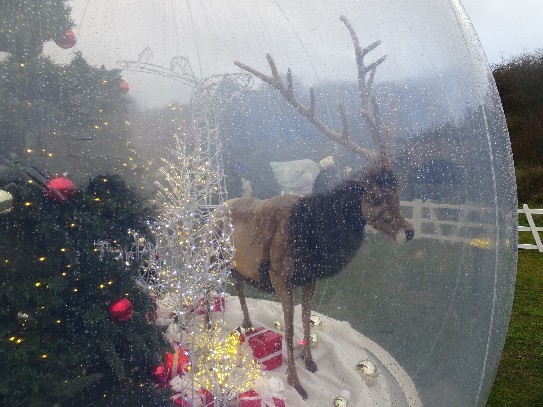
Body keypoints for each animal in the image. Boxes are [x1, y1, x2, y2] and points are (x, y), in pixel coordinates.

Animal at [216, 16, 415, 400]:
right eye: (376, 196)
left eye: (399, 191)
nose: (409, 231)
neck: (313, 236)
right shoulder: (280, 276)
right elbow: (290, 328)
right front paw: (296, 384)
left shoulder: (309, 279)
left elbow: (307, 322)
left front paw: (310, 364)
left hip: (235, 265)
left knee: (239, 285)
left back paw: (246, 325)